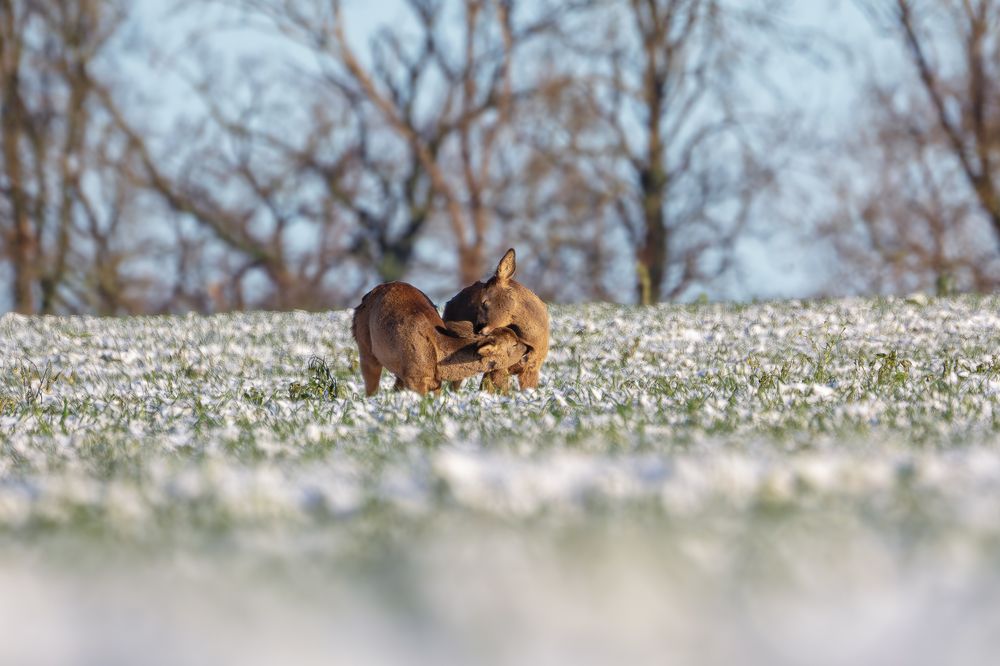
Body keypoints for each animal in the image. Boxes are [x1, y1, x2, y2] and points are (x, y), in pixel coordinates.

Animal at [352, 281, 531, 396]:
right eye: (514, 344)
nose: (528, 348)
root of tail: (365, 297)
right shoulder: (415, 379)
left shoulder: (434, 383)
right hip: (365, 345)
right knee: (371, 386)